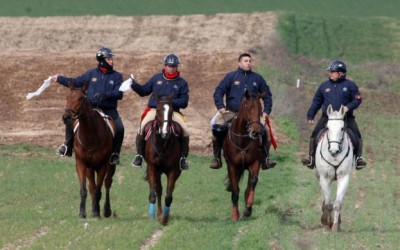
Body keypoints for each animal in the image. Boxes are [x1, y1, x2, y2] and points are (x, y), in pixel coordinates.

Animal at [63, 83, 115, 218]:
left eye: (81, 98)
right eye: (67, 97)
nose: (66, 117)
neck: (90, 136)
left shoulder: (103, 166)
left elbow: (99, 189)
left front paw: (96, 212)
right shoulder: (81, 164)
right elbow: (85, 190)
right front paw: (82, 212)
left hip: (110, 166)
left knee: (107, 183)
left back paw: (105, 210)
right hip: (90, 168)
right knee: (92, 186)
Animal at [143, 93, 182, 226]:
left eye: (171, 111)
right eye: (158, 110)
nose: (165, 133)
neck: (162, 143)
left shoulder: (173, 170)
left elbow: (169, 196)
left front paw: (165, 218)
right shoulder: (152, 168)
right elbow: (153, 193)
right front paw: (152, 216)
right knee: (158, 190)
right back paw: (158, 213)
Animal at [222, 90, 266, 221]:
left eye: (260, 109)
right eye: (247, 108)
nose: (256, 131)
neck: (241, 141)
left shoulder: (255, 163)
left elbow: (253, 182)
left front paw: (248, 208)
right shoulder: (232, 166)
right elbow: (235, 190)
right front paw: (235, 215)